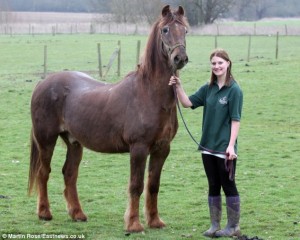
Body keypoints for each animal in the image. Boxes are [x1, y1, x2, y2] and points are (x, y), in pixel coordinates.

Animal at [27, 5, 188, 232]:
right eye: (165, 30)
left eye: (185, 30)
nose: (180, 58)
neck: (148, 93)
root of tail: (43, 83)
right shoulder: (139, 148)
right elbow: (136, 185)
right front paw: (134, 224)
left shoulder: (162, 149)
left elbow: (153, 185)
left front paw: (155, 221)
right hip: (46, 141)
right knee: (44, 172)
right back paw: (44, 213)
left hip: (74, 143)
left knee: (69, 174)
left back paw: (78, 214)